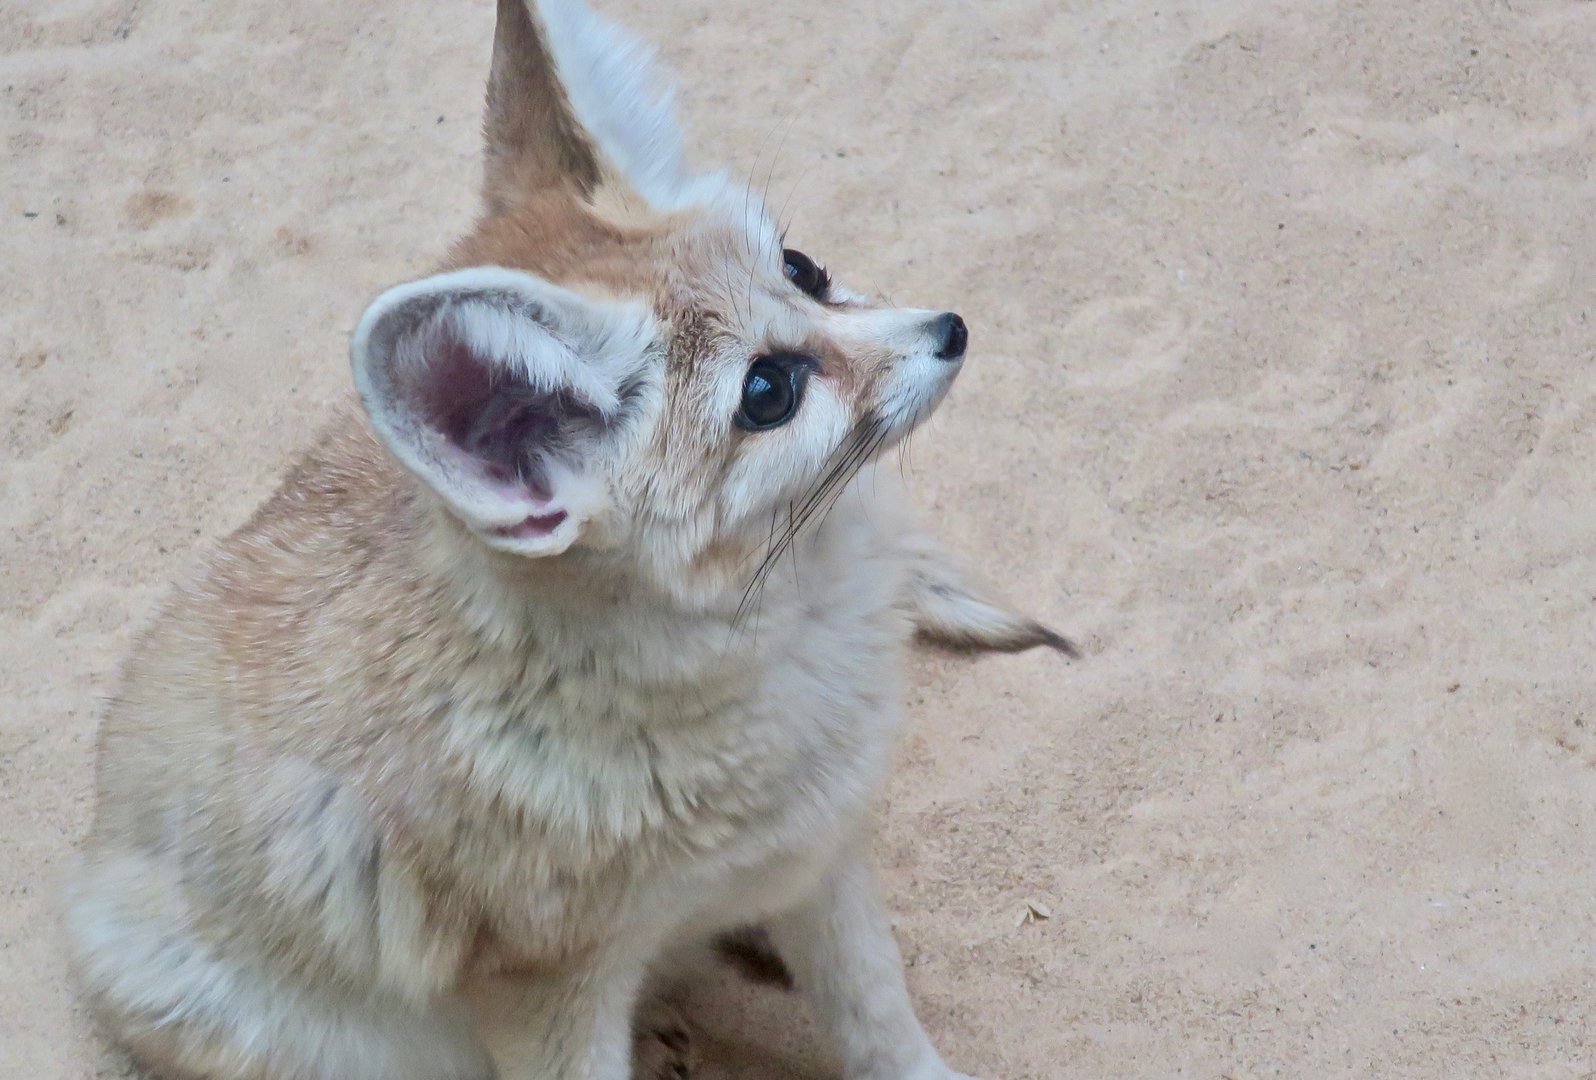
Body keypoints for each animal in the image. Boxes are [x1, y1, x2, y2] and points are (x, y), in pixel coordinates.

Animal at [62, 2, 1074, 1079]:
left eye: (801, 269)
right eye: (769, 391)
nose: (951, 328)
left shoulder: (818, 857)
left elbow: (880, 1022)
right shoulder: (552, 993)